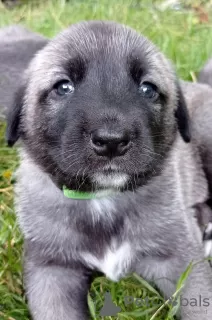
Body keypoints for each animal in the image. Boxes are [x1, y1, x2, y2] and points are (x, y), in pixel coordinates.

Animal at [5, 20, 212, 320]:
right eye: (63, 87)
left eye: (148, 88)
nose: (112, 141)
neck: (102, 199)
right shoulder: (51, 269)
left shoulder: (179, 258)